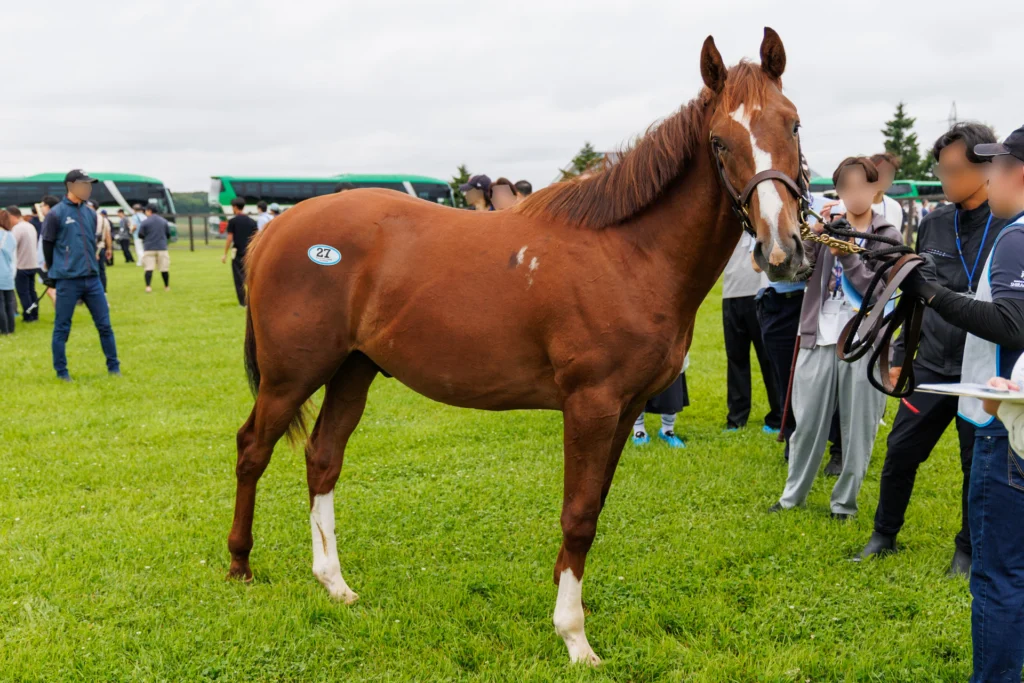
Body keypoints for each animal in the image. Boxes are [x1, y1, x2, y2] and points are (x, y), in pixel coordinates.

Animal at [227, 27, 806, 665]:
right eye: (719, 141)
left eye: (793, 124)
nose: (783, 250)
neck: (628, 253)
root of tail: (278, 228)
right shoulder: (591, 405)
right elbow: (578, 515)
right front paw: (573, 635)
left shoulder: (626, 408)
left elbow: (595, 507)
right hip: (290, 377)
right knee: (253, 449)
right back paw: (240, 565)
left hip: (354, 370)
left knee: (323, 457)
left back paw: (334, 582)